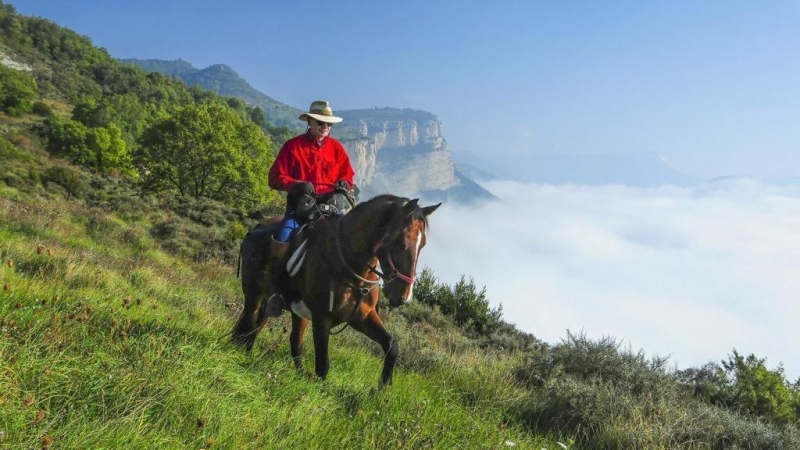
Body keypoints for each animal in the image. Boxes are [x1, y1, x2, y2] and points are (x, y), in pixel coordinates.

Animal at [231, 195, 444, 384]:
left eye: (423, 244)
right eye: (401, 242)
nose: (403, 297)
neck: (351, 268)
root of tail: (256, 228)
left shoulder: (362, 318)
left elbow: (391, 346)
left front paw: (380, 390)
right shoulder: (321, 321)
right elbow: (322, 366)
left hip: (290, 310)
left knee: (285, 337)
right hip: (255, 295)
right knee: (249, 323)